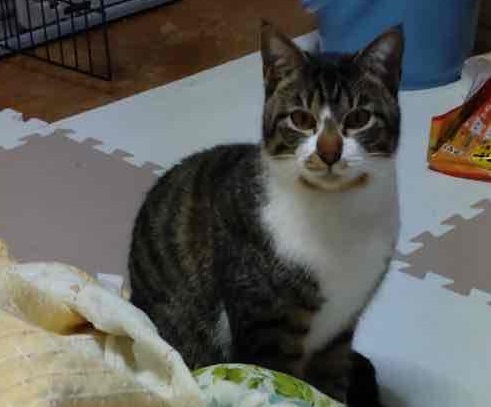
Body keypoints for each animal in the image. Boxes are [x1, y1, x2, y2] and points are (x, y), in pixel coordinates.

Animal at [129, 21, 403, 407]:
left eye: (359, 118)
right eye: (301, 119)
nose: (329, 151)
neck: (337, 213)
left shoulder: (339, 334)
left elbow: (332, 386)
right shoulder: (266, 329)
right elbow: (280, 378)